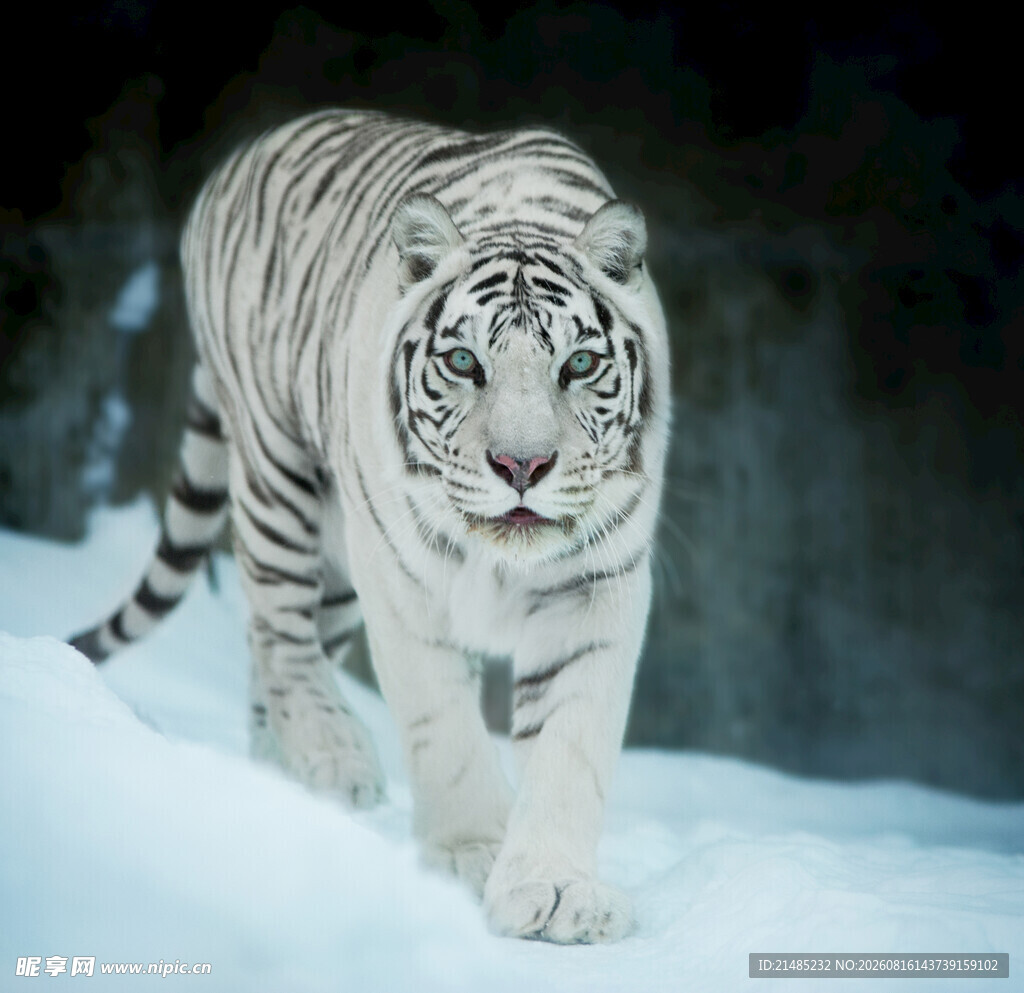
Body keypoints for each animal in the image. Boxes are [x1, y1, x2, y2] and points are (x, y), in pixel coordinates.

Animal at [70, 108, 670, 944]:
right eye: (463, 362)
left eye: (579, 366)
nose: (521, 464)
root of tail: (248, 149)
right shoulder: (400, 576)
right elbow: (443, 726)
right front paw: (471, 853)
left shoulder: (594, 583)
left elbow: (568, 744)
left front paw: (555, 889)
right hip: (280, 475)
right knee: (278, 630)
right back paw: (334, 756)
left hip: (334, 559)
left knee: (279, 647)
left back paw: (280, 772)